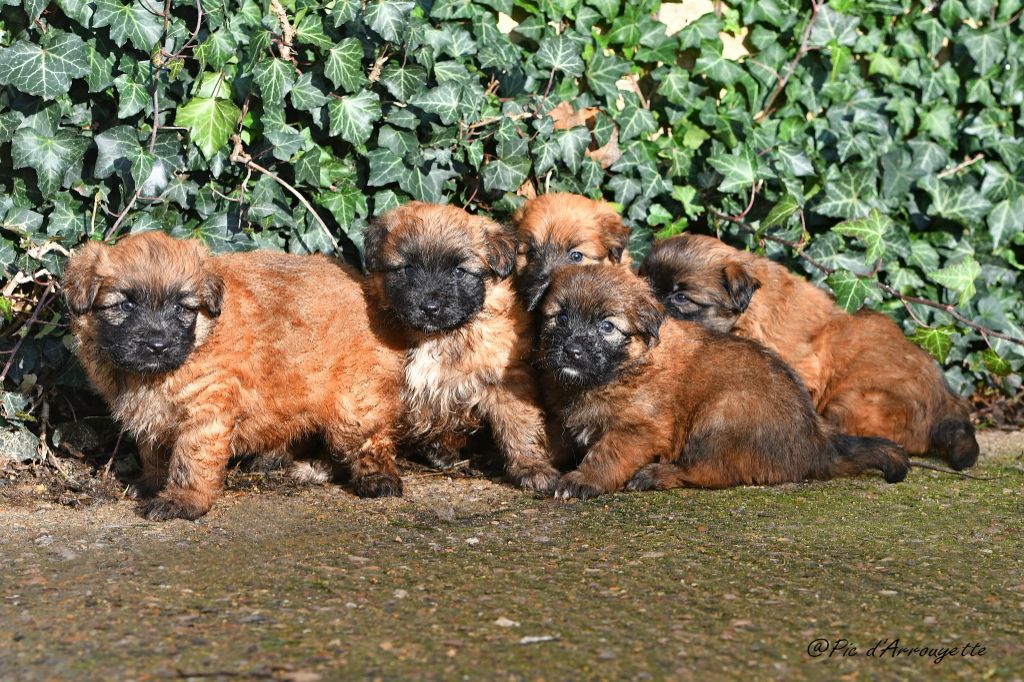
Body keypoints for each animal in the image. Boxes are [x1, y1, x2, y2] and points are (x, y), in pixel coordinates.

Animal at [61, 231, 407, 518]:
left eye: (181, 307)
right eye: (126, 305)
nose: (158, 345)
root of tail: (364, 288)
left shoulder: (206, 409)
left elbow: (190, 460)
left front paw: (182, 501)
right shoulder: (154, 414)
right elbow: (154, 451)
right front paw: (152, 482)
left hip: (354, 397)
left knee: (369, 440)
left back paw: (376, 478)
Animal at [364, 199, 561, 491]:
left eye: (459, 271)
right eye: (408, 268)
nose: (429, 307)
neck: (438, 337)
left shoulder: (506, 379)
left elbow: (519, 424)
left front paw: (533, 468)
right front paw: (375, 473)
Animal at [532, 262, 909, 497]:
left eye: (607, 326)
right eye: (560, 317)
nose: (571, 351)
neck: (625, 367)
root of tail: (817, 444)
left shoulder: (637, 430)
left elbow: (606, 455)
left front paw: (583, 480)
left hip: (720, 415)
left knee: (709, 472)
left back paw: (656, 474)